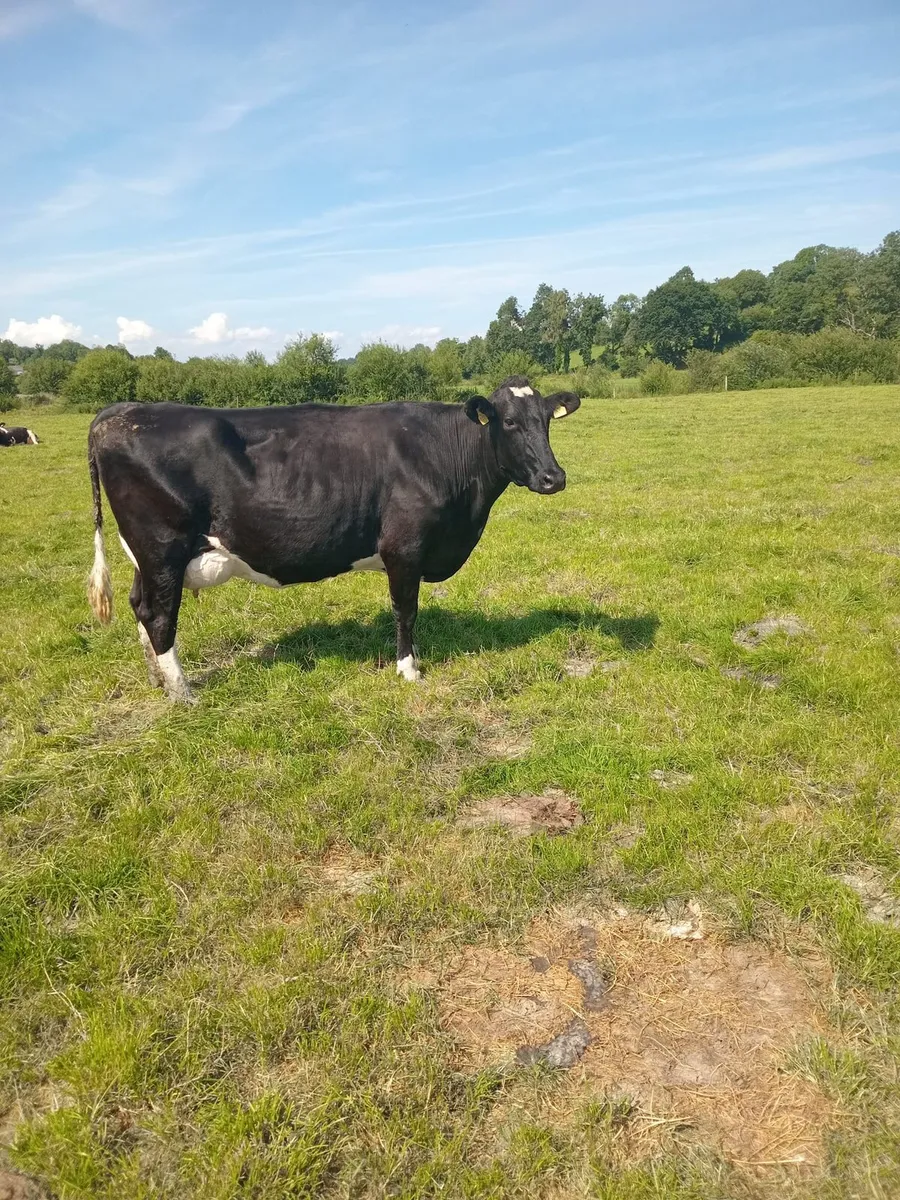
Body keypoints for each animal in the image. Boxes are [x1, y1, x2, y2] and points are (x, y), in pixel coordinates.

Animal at [87, 376, 580, 703]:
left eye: (546, 421)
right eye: (509, 422)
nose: (553, 478)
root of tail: (118, 413)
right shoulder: (404, 549)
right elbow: (406, 612)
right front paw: (409, 670)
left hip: (146, 557)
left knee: (140, 606)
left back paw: (157, 678)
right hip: (162, 547)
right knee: (159, 616)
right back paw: (183, 692)